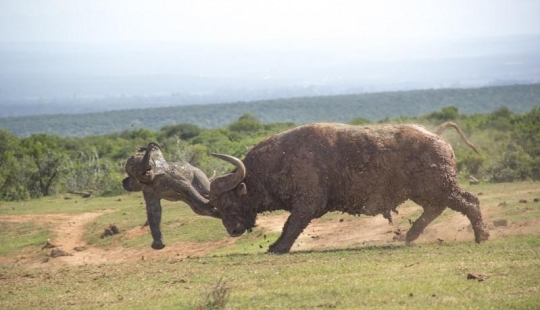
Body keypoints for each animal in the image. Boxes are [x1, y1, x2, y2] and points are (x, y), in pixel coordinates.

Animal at [210, 122, 490, 253]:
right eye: (216, 207)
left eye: (228, 202)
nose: (232, 230)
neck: (278, 161)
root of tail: (437, 136)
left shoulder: (307, 204)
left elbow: (291, 225)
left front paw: (278, 247)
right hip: (425, 191)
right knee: (437, 208)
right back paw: (410, 235)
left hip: (441, 186)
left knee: (469, 202)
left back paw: (482, 236)